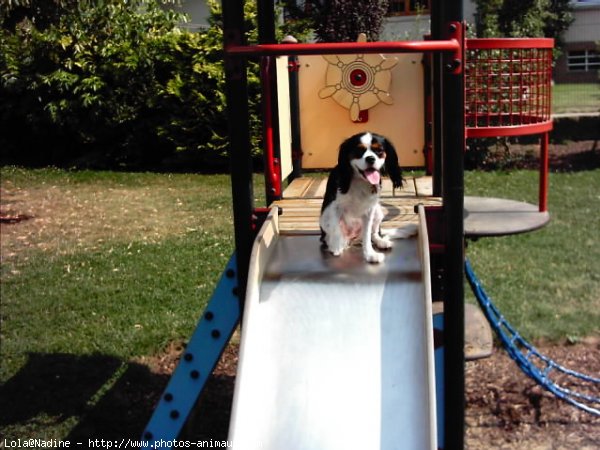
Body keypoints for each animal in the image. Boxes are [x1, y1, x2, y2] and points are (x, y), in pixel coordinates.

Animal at [318, 131, 404, 264]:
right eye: (359, 151)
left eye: (379, 151)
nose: (370, 158)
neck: (360, 180)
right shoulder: (334, 207)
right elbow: (336, 228)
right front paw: (336, 247)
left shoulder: (369, 210)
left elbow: (367, 235)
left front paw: (370, 254)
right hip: (324, 218)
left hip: (378, 211)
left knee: (374, 234)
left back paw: (381, 242)